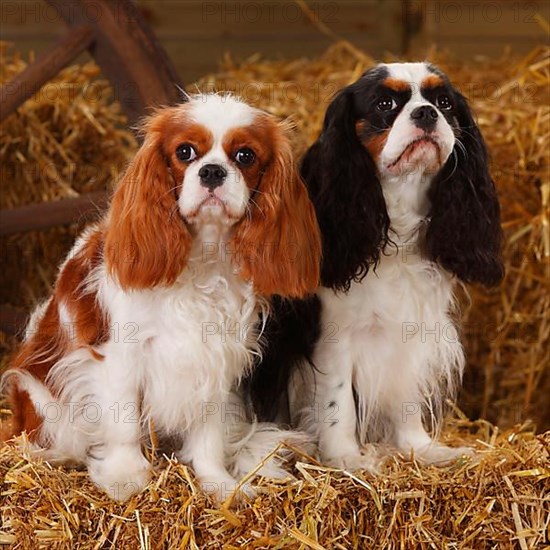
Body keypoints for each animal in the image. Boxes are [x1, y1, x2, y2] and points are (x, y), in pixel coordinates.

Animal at [250, 63, 504, 470]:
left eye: (444, 102)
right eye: (385, 104)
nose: (426, 113)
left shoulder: (412, 333)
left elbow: (407, 396)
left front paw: (421, 449)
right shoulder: (334, 339)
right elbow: (337, 404)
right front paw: (345, 458)